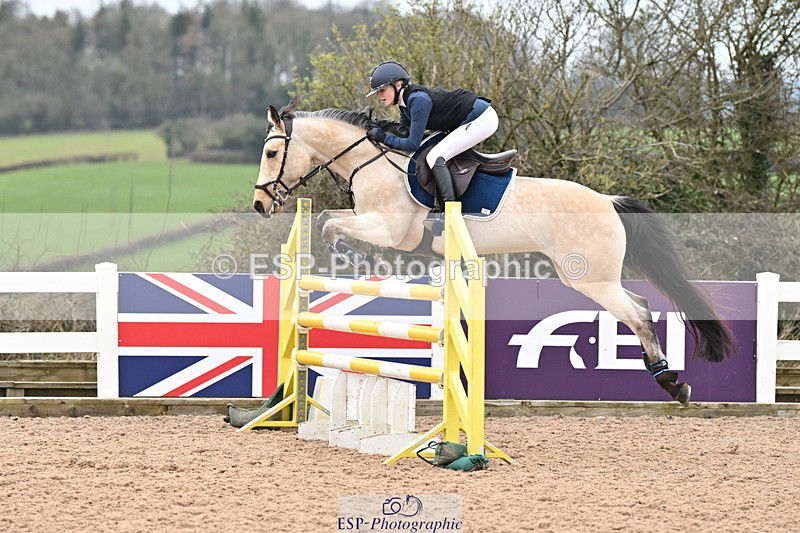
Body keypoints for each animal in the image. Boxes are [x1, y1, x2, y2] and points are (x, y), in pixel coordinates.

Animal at [252, 99, 735, 406]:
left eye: (273, 151)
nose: (259, 204)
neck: (371, 162)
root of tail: (607, 201)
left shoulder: (390, 229)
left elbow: (329, 224)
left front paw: (356, 258)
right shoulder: (369, 217)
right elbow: (325, 217)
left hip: (587, 276)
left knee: (637, 313)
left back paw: (672, 383)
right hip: (595, 276)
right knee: (639, 306)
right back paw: (669, 380)